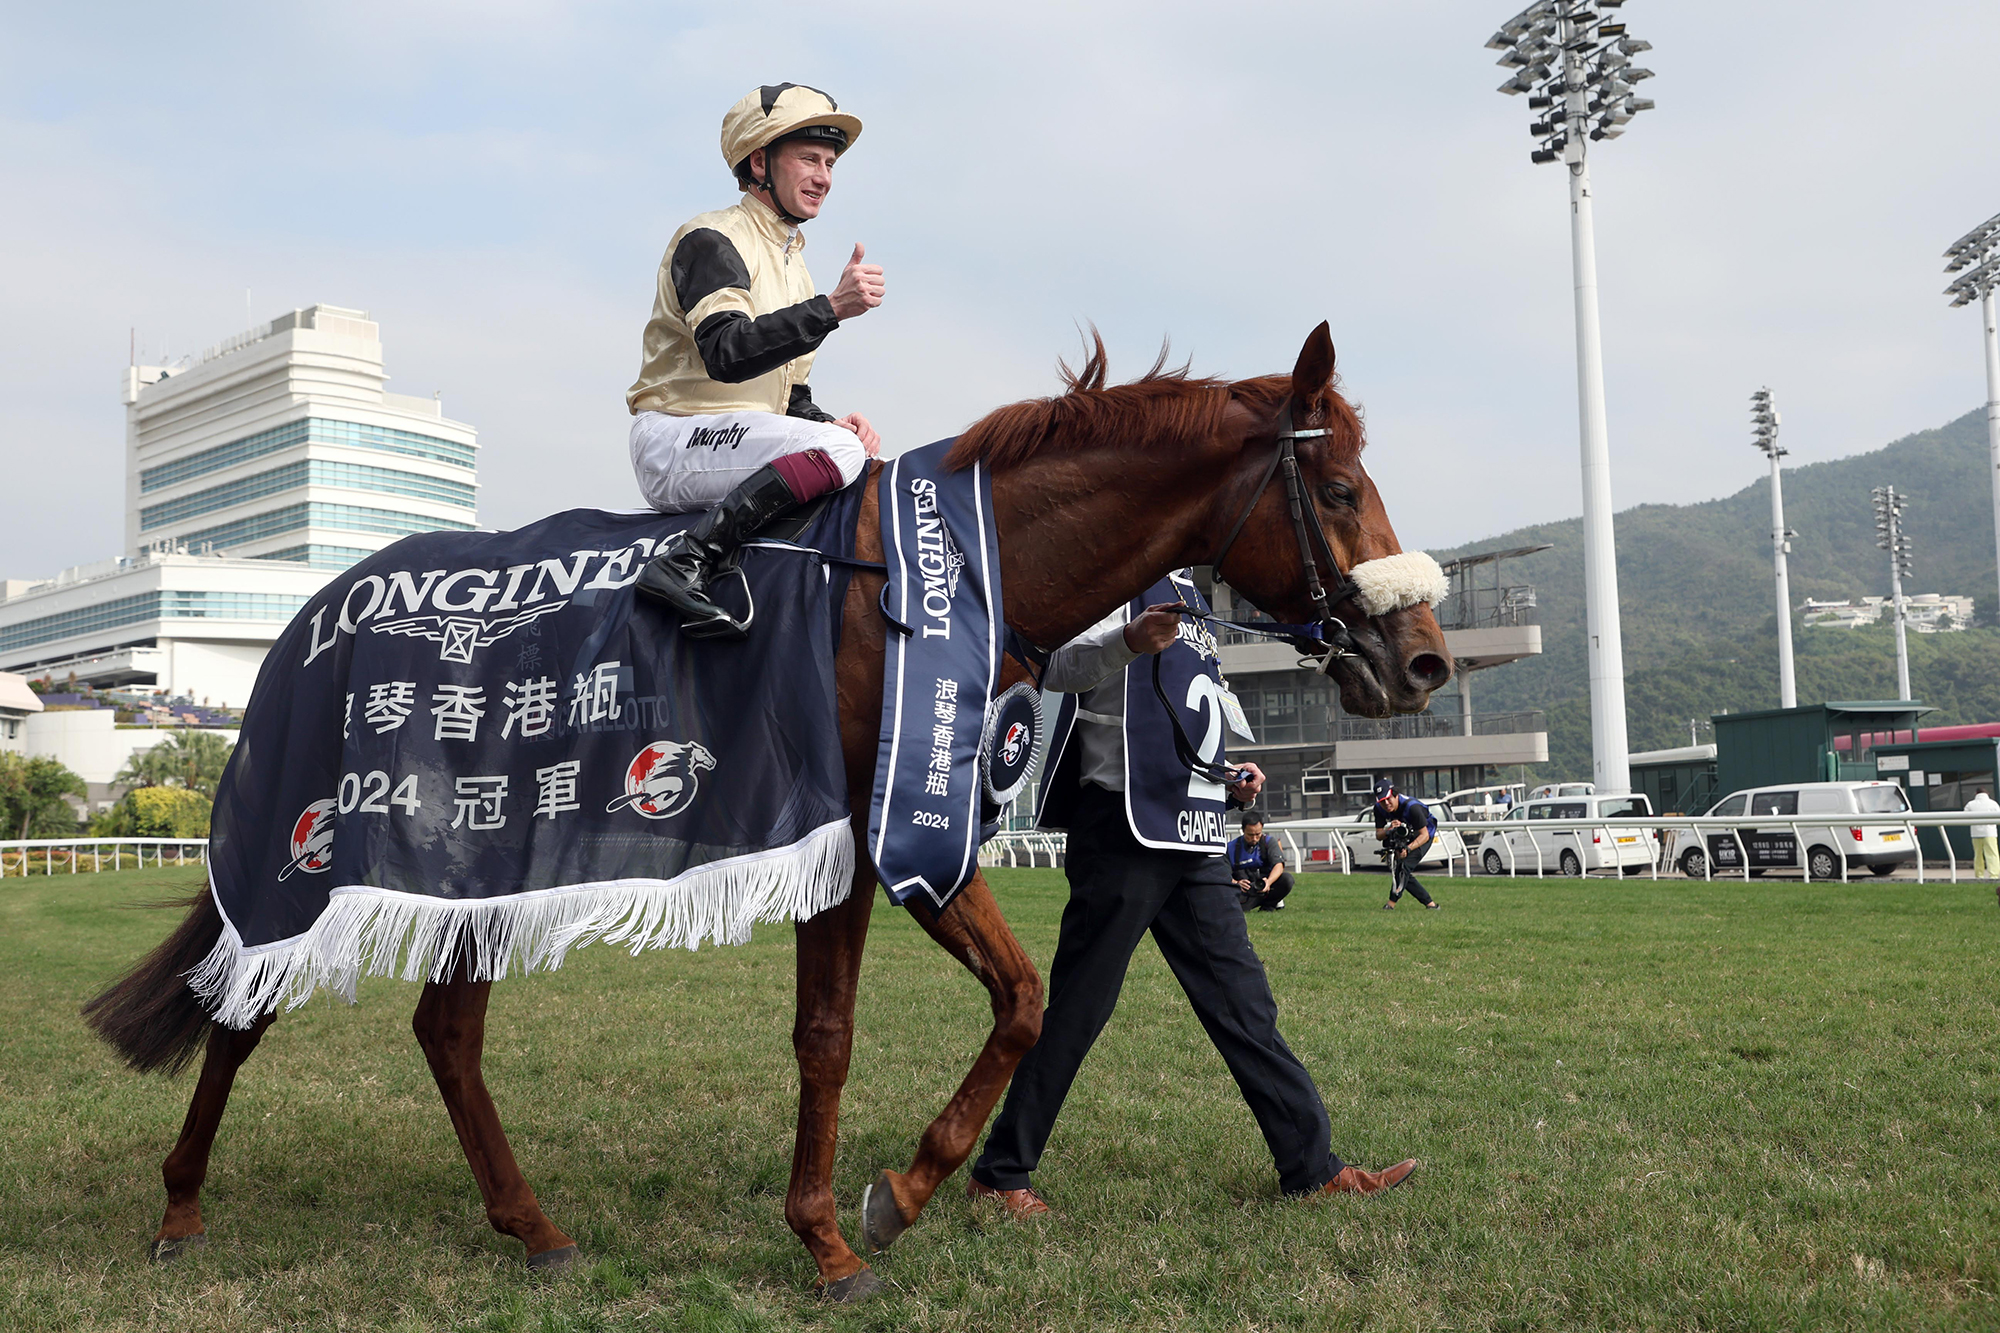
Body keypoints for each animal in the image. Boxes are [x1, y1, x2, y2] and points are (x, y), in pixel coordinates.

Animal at [82, 322, 1456, 1296]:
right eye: (1340, 488)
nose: (1425, 660)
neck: (942, 578)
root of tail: (301, 621)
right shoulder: (859, 831)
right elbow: (831, 1035)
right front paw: (837, 1235)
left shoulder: (918, 823)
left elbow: (1020, 1002)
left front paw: (896, 1193)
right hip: (311, 852)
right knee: (241, 1009)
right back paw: (181, 1206)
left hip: (473, 853)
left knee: (444, 1033)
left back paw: (534, 1227)